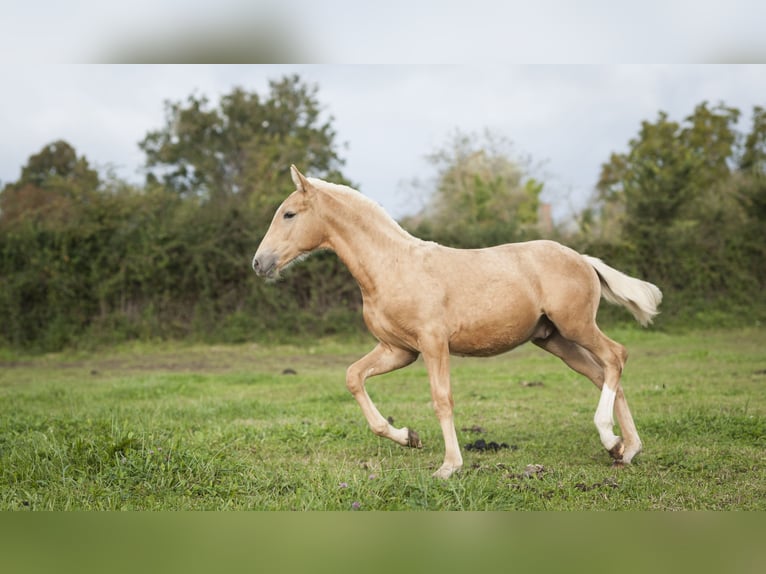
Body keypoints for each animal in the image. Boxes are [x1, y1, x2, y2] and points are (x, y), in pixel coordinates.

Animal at [255, 166, 664, 482]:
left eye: (289, 214)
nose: (259, 263)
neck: (391, 266)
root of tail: (582, 258)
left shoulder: (433, 343)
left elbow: (442, 399)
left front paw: (449, 467)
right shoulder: (398, 350)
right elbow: (354, 377)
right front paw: (408, 436)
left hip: (576, 326)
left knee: (615, 356)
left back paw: (612, 440)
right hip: (555, 340)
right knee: (603, 372)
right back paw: (625, 449)